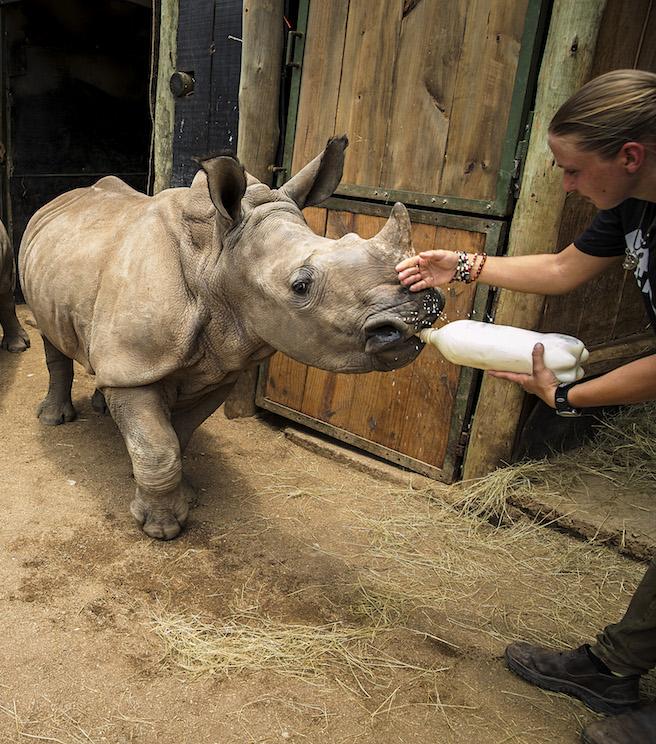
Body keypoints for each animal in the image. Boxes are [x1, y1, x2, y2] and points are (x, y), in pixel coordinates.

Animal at [19, 136, 443, 539]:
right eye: (300, 286)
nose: (420, 311)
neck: (215, 258)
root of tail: (66, 197)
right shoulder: (140, 364)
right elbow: (158, 448)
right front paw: (161, 528)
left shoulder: (217, 368)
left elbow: (179, 437)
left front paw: (185, 497)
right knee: (52, 338)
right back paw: (55, 420)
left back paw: (102, 408)